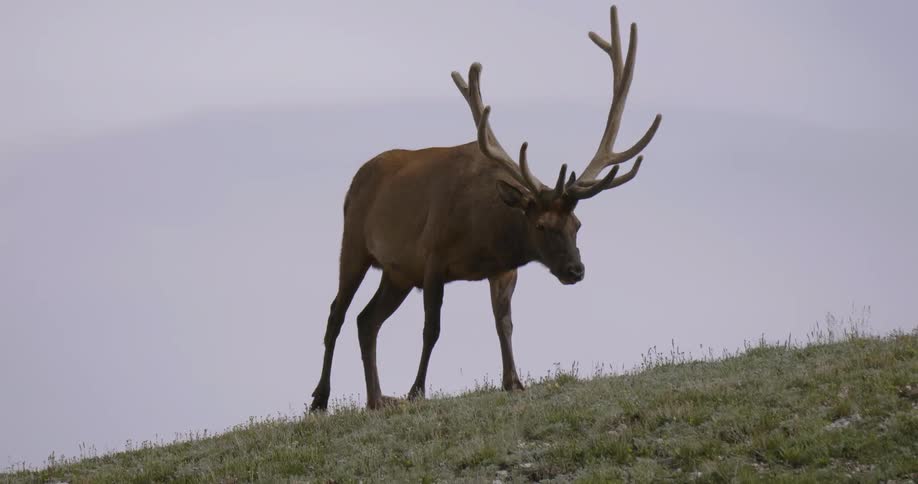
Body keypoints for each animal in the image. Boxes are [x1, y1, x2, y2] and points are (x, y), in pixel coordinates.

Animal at [309, 5, 661, 411]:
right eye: (541, 225)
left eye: (577, 223)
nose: (576, 270)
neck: (484, 233)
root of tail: (356, 178)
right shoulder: (433, 256)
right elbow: (432, 328)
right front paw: (417, 390)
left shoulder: (503, 269)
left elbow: (503, 322)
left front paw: (513, 381)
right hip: (354, 244)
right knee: (336, 313)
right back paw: (320, 398)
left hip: (398, 273)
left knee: (367, 321)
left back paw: (377, 398)